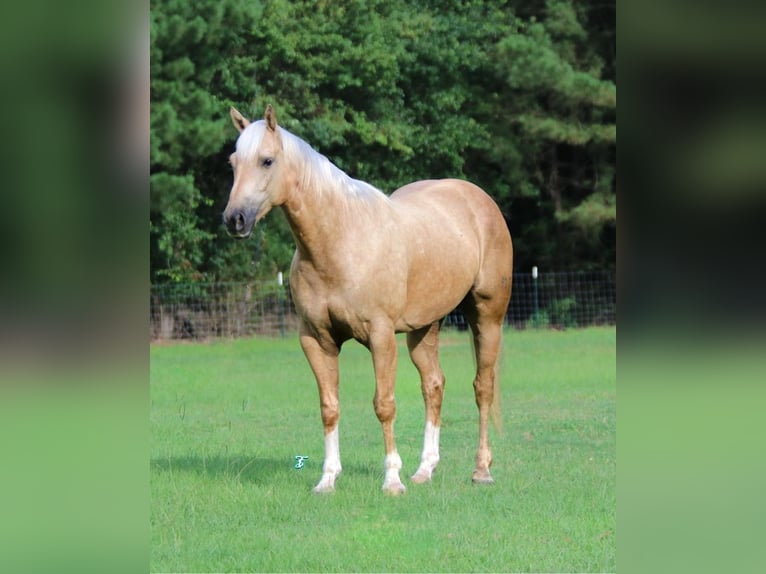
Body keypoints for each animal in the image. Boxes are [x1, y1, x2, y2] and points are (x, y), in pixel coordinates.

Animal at [225, 104, 512, 496]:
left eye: (267, 160)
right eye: (233, 162)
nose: (235, 220)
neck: (341, 241)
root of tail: (478, 199)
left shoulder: (380, 336)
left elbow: (384, 405)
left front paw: (392, 480)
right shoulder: (316, 339)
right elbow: (329, 406)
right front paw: (327, 479)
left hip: (487, 316)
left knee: (483, 387)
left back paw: (481, 470)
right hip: (424, 328)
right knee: (433, 386)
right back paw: (425, 470)